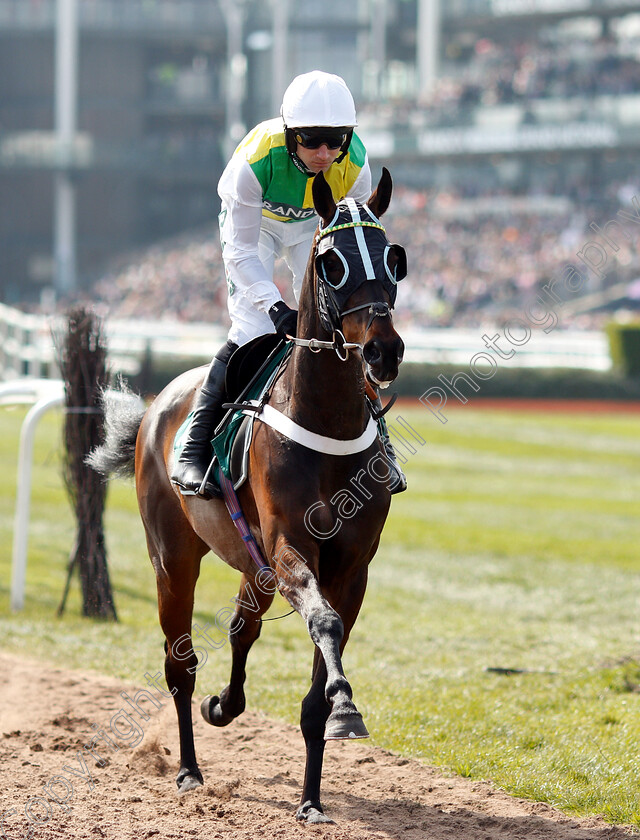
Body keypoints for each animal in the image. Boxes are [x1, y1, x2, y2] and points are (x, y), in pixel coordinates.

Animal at [90, 167, 404, 824]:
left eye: (394, 256)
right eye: (332, 262)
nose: (383, 351)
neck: (327, 420)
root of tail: (156, 407)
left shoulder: (350, 566)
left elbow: (322, 649)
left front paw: (313, 795)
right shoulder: (290, 547)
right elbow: (323, 622)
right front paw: (345, 708)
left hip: (251, 563)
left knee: (240, 629)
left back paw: (224, 706)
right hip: (173, 558)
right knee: (180, 663)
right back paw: (188, 768)